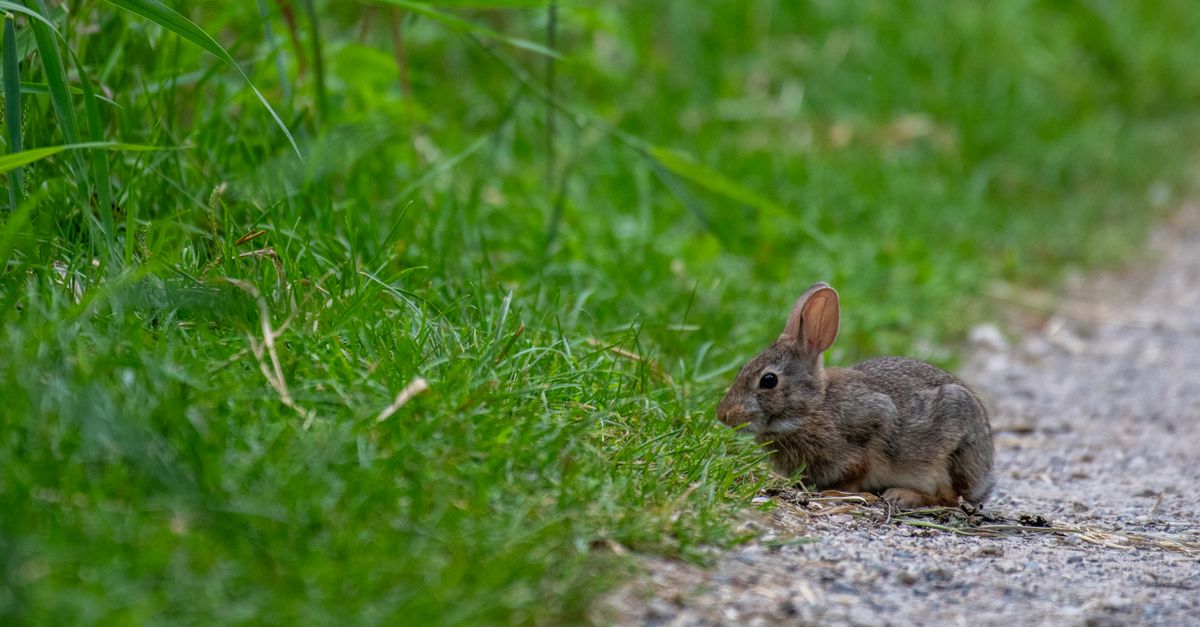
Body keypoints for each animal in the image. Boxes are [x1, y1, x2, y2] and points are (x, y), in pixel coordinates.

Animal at [716, 282, 994, 507]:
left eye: (769, 380)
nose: (724, 415)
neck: (813, 407)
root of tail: (984, 478)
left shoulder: (873, 423)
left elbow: (858, 469)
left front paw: (835, 493)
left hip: (949, 453)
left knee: (950, 497)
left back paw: (903, 495)